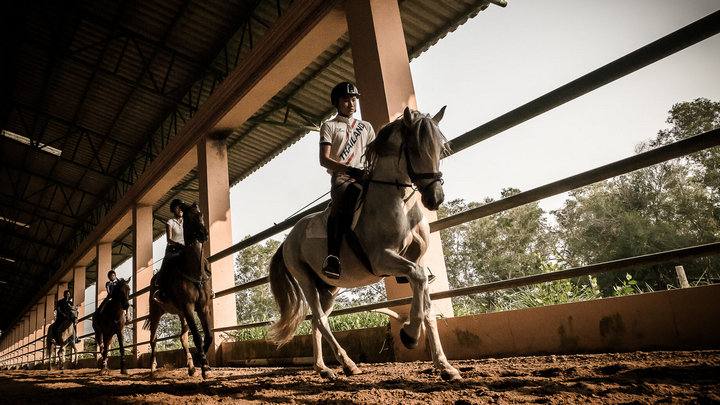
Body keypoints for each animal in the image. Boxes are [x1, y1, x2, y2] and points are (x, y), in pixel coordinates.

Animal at [143, 202, 214, 378]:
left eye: (200, 214)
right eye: (189, 217)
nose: (203, 234)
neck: (193, 270)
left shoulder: (202, 306)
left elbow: (208, 335)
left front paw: (201, 361)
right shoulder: (188, 306)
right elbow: (197, 336)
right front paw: (204, 366)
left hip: (181, 313)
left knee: (182, 337)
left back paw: (191, 368)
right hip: (156, 312)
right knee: (153, 339)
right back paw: (153, 369)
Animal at [266, 105, 462, 380]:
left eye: (441, 150)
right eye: (414, 149)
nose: (435, 198)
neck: (401, 205)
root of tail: (287, 240)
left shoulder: (416, 260)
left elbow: (427, 304)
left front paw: (445, 366)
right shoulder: (383, 260)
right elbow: (418, 278)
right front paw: (409, 335)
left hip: (329, 288)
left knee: (317, 320)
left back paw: (323, 368)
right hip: (305, 279)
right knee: (320, 319)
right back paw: (348, 364)